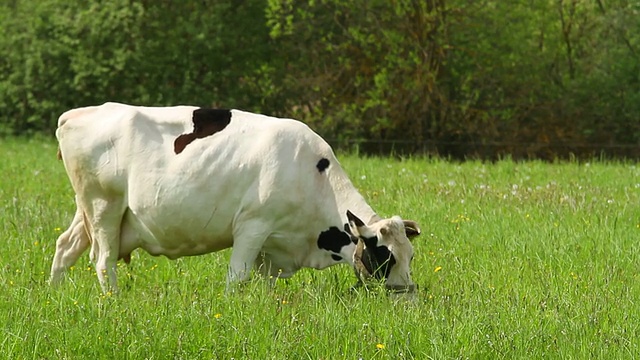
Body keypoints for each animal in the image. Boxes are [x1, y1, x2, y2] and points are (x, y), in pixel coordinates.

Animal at [50, 102, 420, 294]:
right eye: (384, 257)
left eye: (410, 256)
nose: (407, 296)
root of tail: (77, 113)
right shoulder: (253, 226)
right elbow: (237, 278)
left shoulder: (273, 249)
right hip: (104, 208)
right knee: (103, 261)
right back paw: (113, 301)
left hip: (89, 211)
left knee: (65, 246)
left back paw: (55, 294)